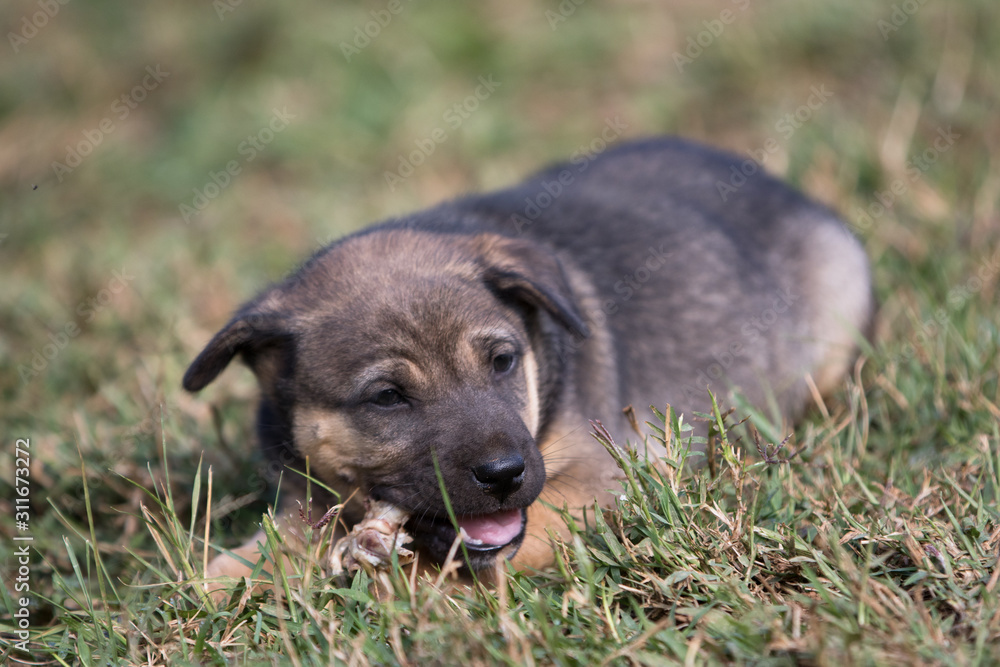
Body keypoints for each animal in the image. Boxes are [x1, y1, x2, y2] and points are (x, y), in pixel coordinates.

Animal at [184, 137, 872, 584]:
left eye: (503, 361)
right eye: (387, 397)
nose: (504, 474)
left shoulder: (605, 476)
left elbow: (509, 538)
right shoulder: (304, 500)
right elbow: (251, 555)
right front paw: (203, 592)